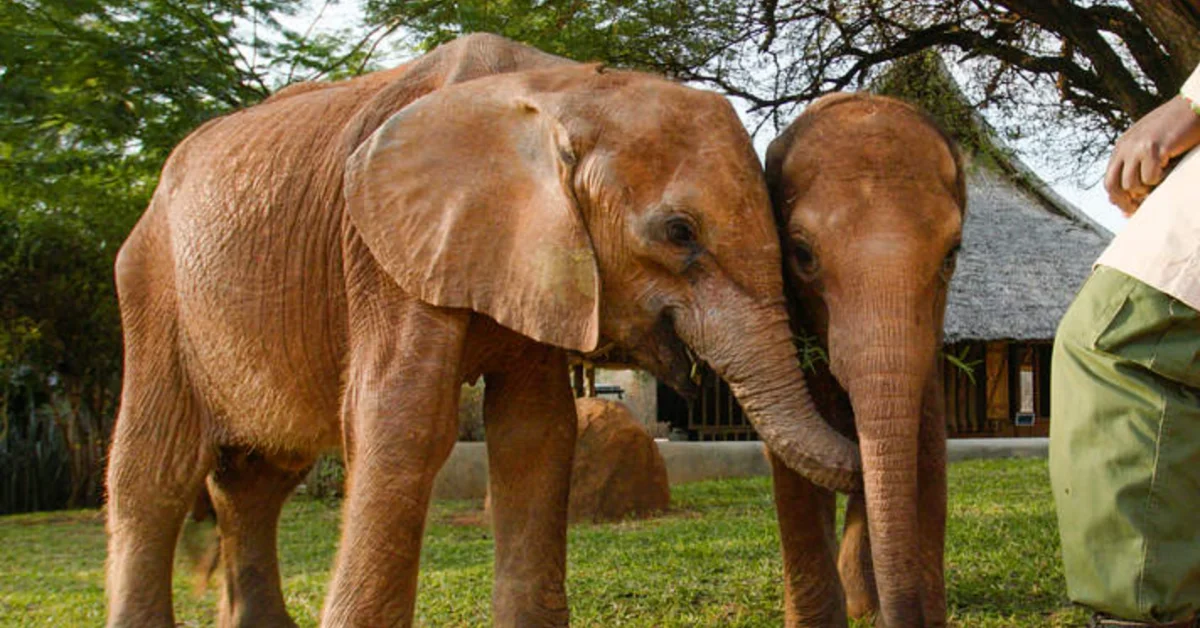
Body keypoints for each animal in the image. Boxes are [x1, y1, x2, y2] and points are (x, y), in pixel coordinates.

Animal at [105, 33, 863, 628]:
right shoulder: (386, 251)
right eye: (679, 233)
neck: (559, 88)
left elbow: (537, 431)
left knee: (259, 477)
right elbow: (405, 424)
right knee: (157, 470)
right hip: (152, 284)